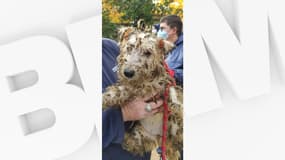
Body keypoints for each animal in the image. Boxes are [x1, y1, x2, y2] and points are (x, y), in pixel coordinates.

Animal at [102, 26, 182, 159]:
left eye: (148, 53)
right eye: (129, 48)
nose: (128, 73)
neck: (143, 81)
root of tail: (161, 137)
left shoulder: (165, 82)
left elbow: (171, 91)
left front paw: (176, 104)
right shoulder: (131, 86)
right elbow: (120, 90)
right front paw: (105, 99)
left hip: (174, 128)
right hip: (139, 137)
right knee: (129, 143)